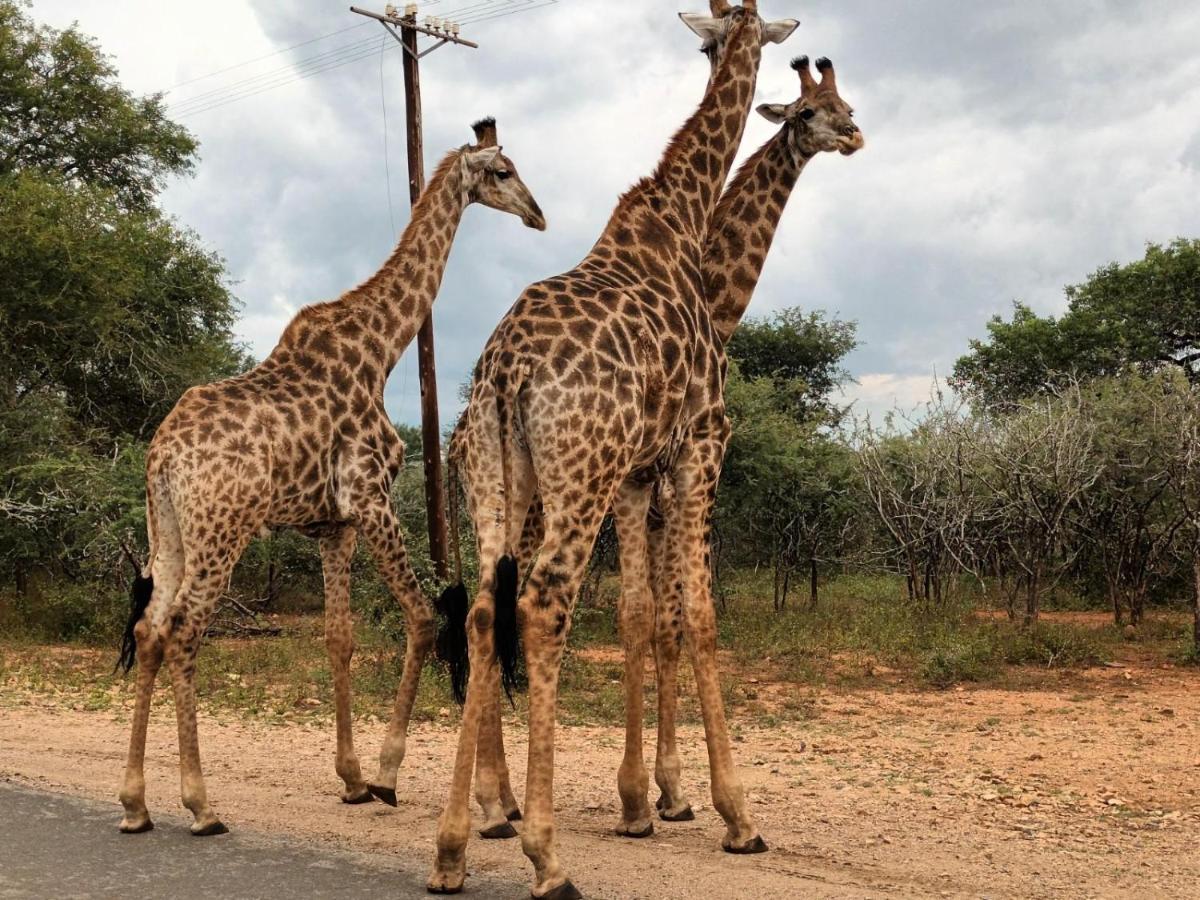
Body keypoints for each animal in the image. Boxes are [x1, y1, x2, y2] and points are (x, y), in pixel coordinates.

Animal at [112, 118, 544, 840]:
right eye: (504, 171)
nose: (539, 216)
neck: (380, 349)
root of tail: (163, 458)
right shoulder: (371, 495)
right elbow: (421, 618)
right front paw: (386, 775)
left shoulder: (333, 524)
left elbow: (338, 638)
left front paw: (351, 779)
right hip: (221, 532)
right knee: (183, 629)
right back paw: (201, 805)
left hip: (166, 529)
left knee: (147, 630)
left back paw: (135, 803)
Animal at [424, 3, 796, 897]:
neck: (682, 218)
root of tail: (507, 370)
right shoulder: (702, 443)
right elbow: (698, 613)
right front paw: (736, 816)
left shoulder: (637, 473)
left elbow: (642, 612)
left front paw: (648, 802)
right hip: (579, 477)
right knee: (541, 603)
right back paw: (545, 855)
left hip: (503, 481)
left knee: (484, 607)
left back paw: (454, 846)